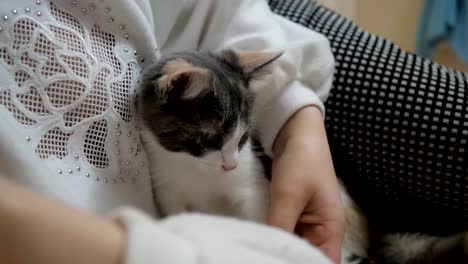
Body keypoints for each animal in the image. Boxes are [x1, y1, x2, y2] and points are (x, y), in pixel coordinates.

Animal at [138, 49, 468, 264]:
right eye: (210, 139)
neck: (198, 171)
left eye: (242, 139)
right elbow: (180, 217)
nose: (230, 165)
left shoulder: (253, 183)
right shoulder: (167, 187)